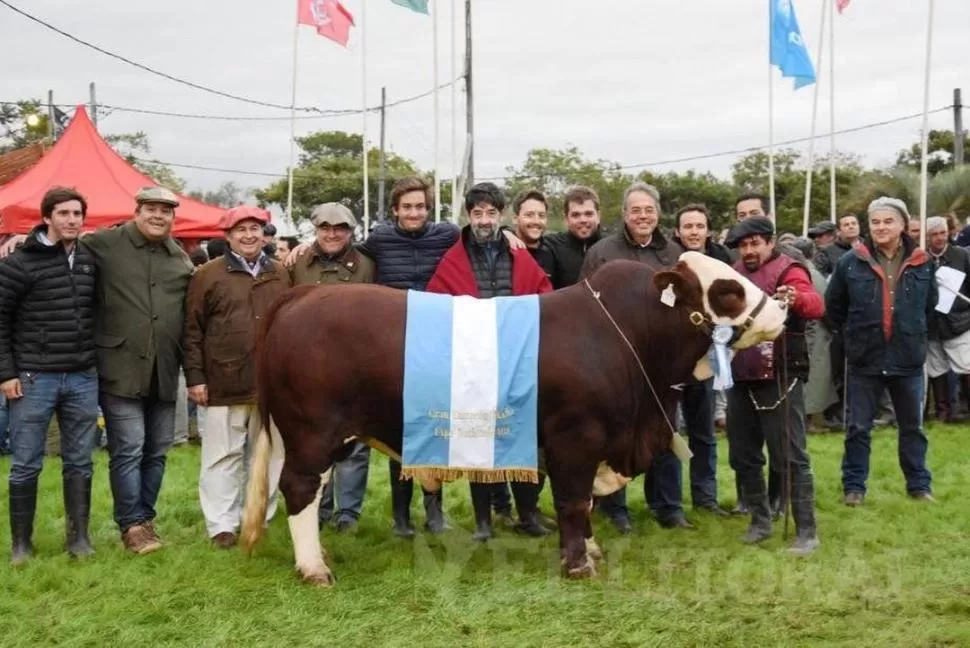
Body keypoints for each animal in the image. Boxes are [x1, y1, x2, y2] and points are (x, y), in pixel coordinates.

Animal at [240, 253, 788, 588]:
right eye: (727, 290)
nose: (782, 309)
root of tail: (303, 296)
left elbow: (586, 503)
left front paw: (591, 551)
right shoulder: (576, 438)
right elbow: (572, 502)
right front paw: (577, 565)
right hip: (315, 435)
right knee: (300, 489)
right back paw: (314, 568)